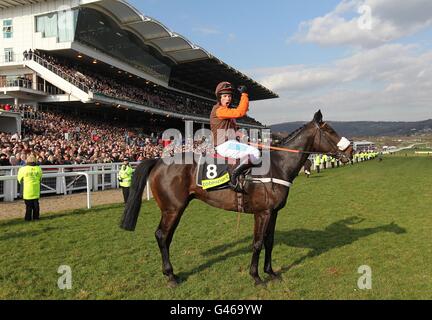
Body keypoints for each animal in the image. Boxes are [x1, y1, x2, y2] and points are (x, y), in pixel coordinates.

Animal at [120, 111, 352, 286]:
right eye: (330, 130)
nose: (350, 150)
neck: (278, 165)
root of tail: (159, 160)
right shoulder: (262, 213)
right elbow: (257, 243)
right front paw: (256, 277)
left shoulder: (274, 212)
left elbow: (269, 241)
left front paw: (271, 272)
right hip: (172, 208)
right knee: (161, 235)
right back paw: (170, 276)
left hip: (176, 208)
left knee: (166, 237)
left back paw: (171, 273)